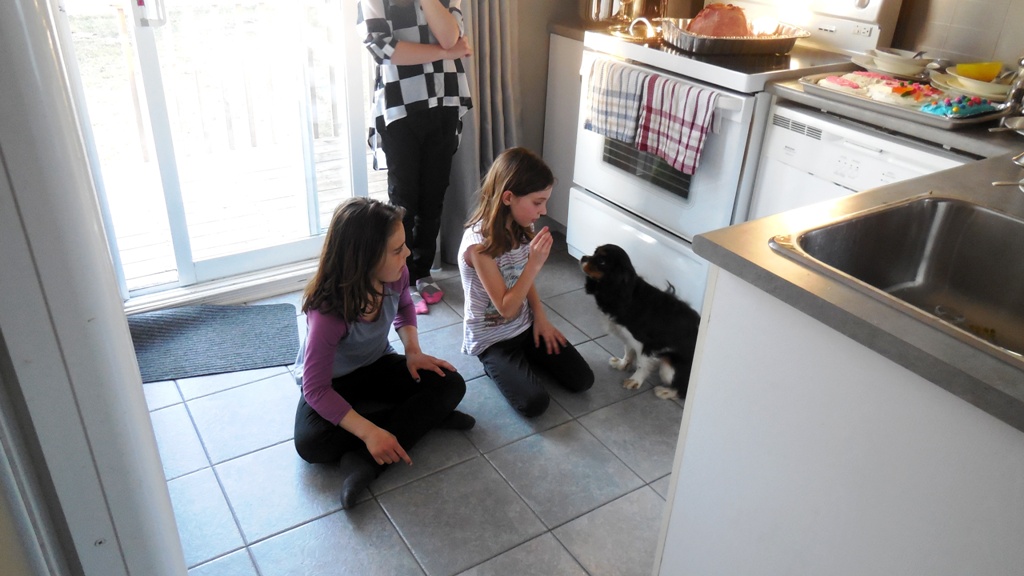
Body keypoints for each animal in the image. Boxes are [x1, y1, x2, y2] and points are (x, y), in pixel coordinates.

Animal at [580, 244, 700, 400]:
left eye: (602, 261)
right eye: (595, 252)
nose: (583, 257)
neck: (626, 293)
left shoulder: (646, 343)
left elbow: (642, 364)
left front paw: (635, 380)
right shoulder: (628, 336)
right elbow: (628, 351)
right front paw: (622, 364)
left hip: (669, 365)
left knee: (684, 389)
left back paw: (666, 391)